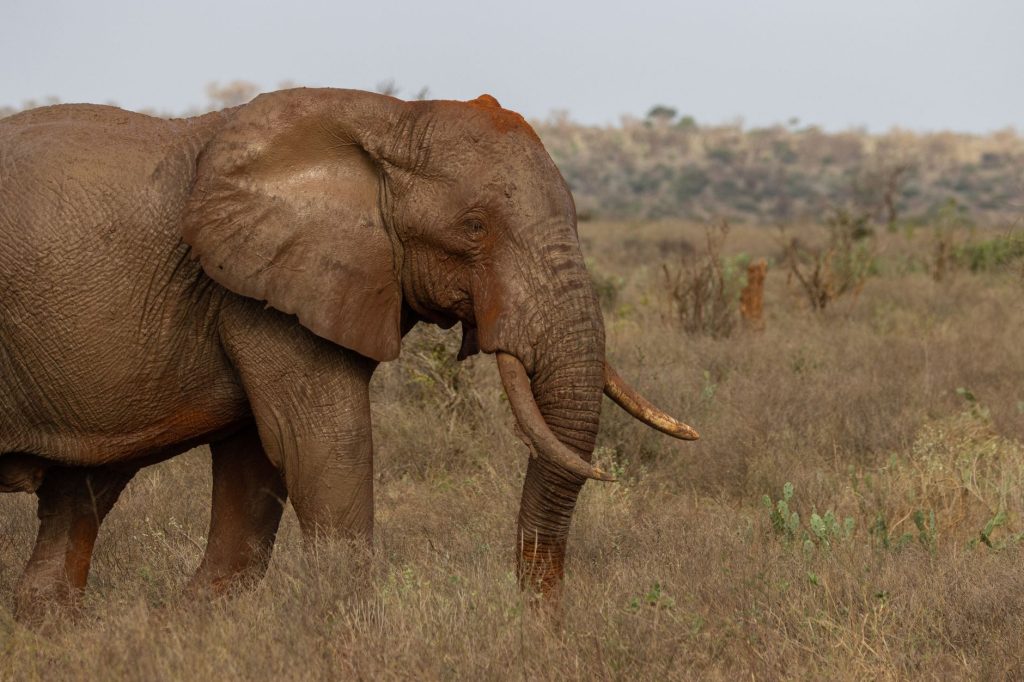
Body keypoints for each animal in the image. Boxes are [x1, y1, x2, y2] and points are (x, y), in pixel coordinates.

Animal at [0, 88, 697, 617]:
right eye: (474, 227)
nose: (539, 617)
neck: (390, 120)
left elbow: (255, 466)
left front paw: (202, 622)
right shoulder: (262, 285)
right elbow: (322, 446)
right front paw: (348, 629)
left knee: (78, 496)